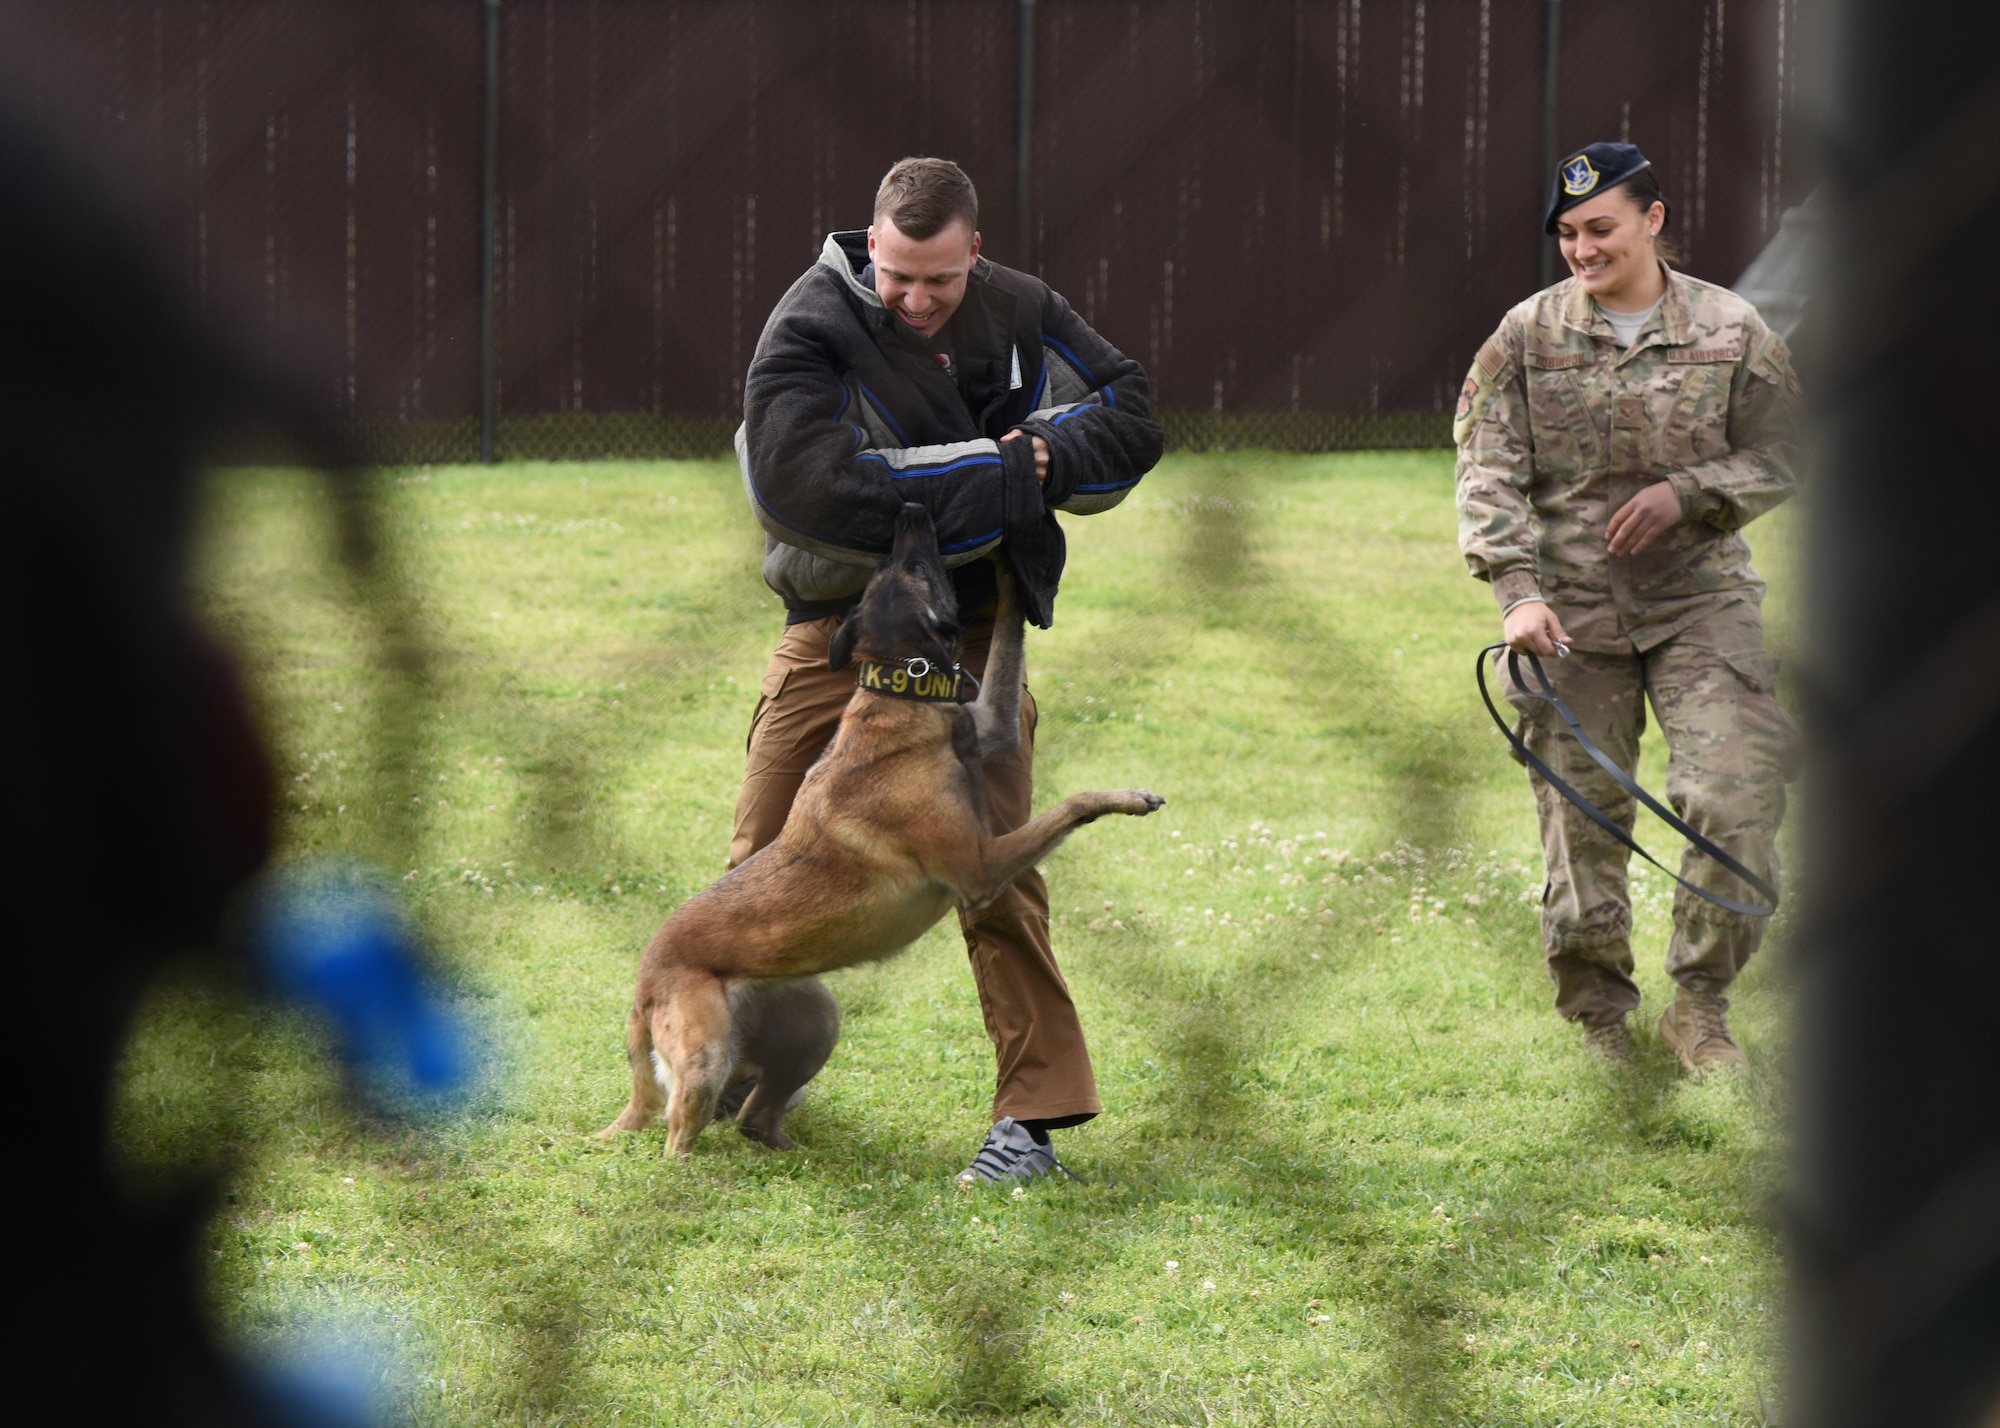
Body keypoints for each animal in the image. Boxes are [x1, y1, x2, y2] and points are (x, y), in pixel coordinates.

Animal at [596, 504, 1160, 1160]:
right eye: (915, 566)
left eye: (890, 568)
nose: (912, 510)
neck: (898, 691)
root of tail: (643, 980)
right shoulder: (980, 867)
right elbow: (1069, 805)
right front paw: (1131, 799)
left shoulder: (991, 726)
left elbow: (1006, 641)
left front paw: (1013, 567)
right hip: (706, 1055)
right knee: (679, 1132)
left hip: (816, 1020)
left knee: (754, 1118)